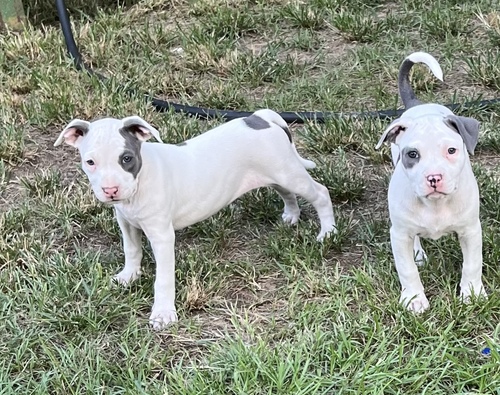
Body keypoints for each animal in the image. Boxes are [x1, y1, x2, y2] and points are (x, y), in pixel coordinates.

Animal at [54, 110, 336, 330]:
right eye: (90, 162)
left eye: (126, 159)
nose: (110, 190)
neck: (140, 182)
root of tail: (260, 118)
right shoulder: (126, 222)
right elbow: (131, 250)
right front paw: (129, 276)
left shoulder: (162, 236)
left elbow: (163, 278)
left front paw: (163, 314)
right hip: (276, 174)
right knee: (286, 193)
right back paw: (291, 215)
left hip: (289, 173)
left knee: (320, 193)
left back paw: (328, 233)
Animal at [376, 51, 486, 312]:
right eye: (412, 154)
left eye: (451, 150)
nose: (433, 177)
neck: (436, 205)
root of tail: (418, 105)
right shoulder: (399, 234)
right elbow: (406, 269)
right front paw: (414, 298)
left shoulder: (470, 230)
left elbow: (473, 264)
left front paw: (472, 293)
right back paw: (418, 254)